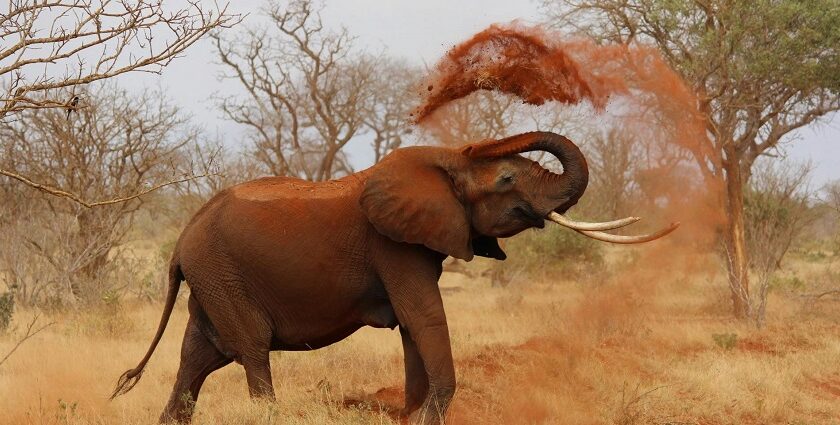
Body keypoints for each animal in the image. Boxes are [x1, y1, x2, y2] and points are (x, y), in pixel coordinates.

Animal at [111, 132, 676, 420]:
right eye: (507, 179)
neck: (442, 163)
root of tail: (181, 240)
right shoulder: (394, 246)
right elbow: (423, 317)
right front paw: (428, 416)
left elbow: (412, 327)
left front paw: (413, 415)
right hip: (222, 275)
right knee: (249, 350)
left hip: (212, 280)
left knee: (197, 359)